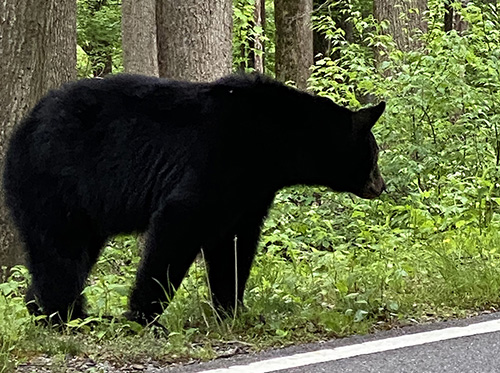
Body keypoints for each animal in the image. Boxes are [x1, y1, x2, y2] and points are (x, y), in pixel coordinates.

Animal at [1, 72, 384, 322]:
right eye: (374, 154)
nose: (381, 185)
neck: (279, 142)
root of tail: (20, 131)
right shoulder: (219, 160)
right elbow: (180, 222)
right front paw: (142, 315)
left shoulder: (252, 189)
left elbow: (234, 243)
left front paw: (233, 310)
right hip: (54, 184)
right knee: (61, 253)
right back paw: (70, 317)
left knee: (68, 255)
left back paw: (42, 309)